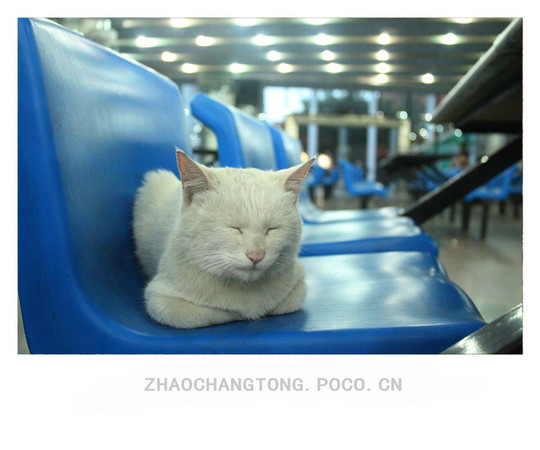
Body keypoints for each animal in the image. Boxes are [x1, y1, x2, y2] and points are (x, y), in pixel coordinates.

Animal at [133, 148, 315, 329]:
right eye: (234, 228)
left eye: (271, 229)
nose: (256, 256)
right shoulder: (159, 299)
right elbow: (213, 313)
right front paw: (239, 312)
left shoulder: (299, 285)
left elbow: (286, 303)